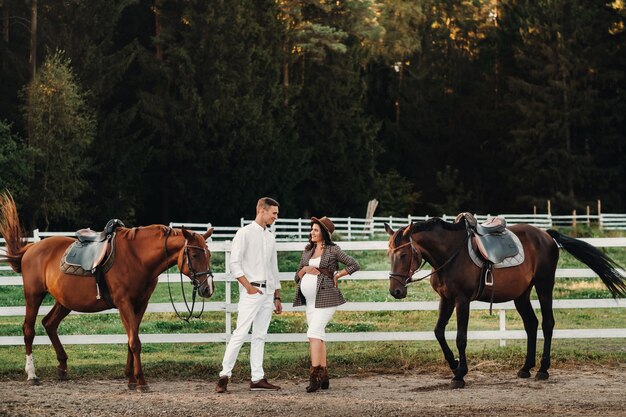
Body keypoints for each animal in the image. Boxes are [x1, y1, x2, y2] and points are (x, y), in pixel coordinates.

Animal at [0, 192, 214, 390]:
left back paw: (62, 368)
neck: (137, 257)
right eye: (195, 254)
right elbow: (135, 342)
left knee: (49, 324)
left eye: (209, 254)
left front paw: (130, 378)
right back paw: (32, 374)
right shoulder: (124, 303)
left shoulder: (140, 304)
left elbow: (131, 338)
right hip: (33, 295)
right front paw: (141, 381)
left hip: (64, 301)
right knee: (29, 330)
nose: (208, 288)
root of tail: (31, 249)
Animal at [382, 219, 620, 388]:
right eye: (389, 254)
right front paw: (453, 364)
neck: (450, 254)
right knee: (531, 325)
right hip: (521, 295)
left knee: (547, 324)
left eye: (403, 254)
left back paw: (543, 370)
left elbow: (461, 338)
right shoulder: (447, 299)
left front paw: (460, 374)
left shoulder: (462, 300)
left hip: (544, 285)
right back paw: (526, 368)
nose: (396, 291)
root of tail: (545, 235)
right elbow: (439, 331)